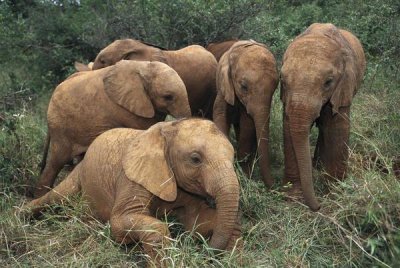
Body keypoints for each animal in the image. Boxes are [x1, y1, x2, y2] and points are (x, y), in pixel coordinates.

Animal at [25, 119, 244, 266]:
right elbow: (122, 220)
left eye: (233, 158)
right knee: (56, 197)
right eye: (195, 159)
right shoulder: (132, 176)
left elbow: (199, 221)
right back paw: (21, 217)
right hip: (79, 175)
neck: (167, 129)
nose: (207, 252)